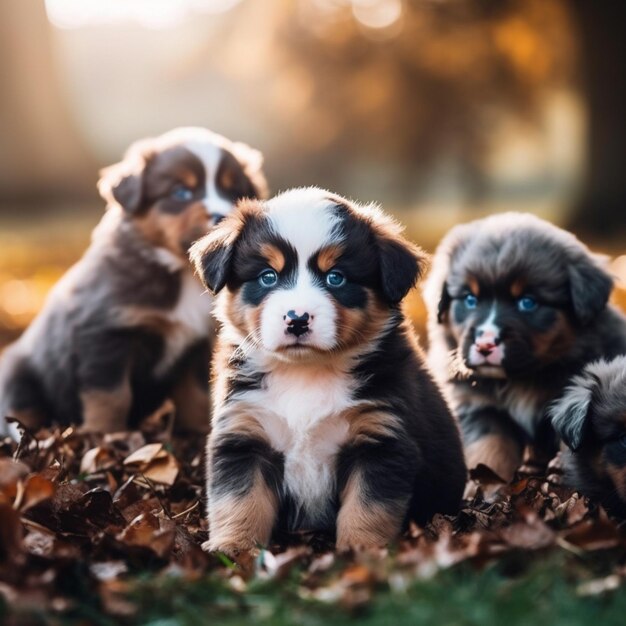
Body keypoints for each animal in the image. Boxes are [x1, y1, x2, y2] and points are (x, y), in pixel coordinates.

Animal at [0, 126, 266, 436]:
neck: (178, 272)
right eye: (180, 192)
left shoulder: (198, 345)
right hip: (19, 374)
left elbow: (197, 395)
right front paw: (107, 436)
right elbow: (112, 395)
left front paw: (196, 434)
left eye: (234, 192)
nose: (222, 216)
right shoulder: (105, 334)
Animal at [190, 186, 464, 556]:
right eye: (268, 276)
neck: (306, 374)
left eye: (336, 278)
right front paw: (233, 549)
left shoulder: (381, 437)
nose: (297, 319)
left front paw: (361, 552)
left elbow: (368, 508)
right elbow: (240, 500)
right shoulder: (244, 432)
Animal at [422, 212, 624, 480]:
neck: (520, 380)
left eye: (527, 302)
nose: (485, 345)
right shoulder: (479, 406)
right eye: (470, 299)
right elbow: (489, 450)